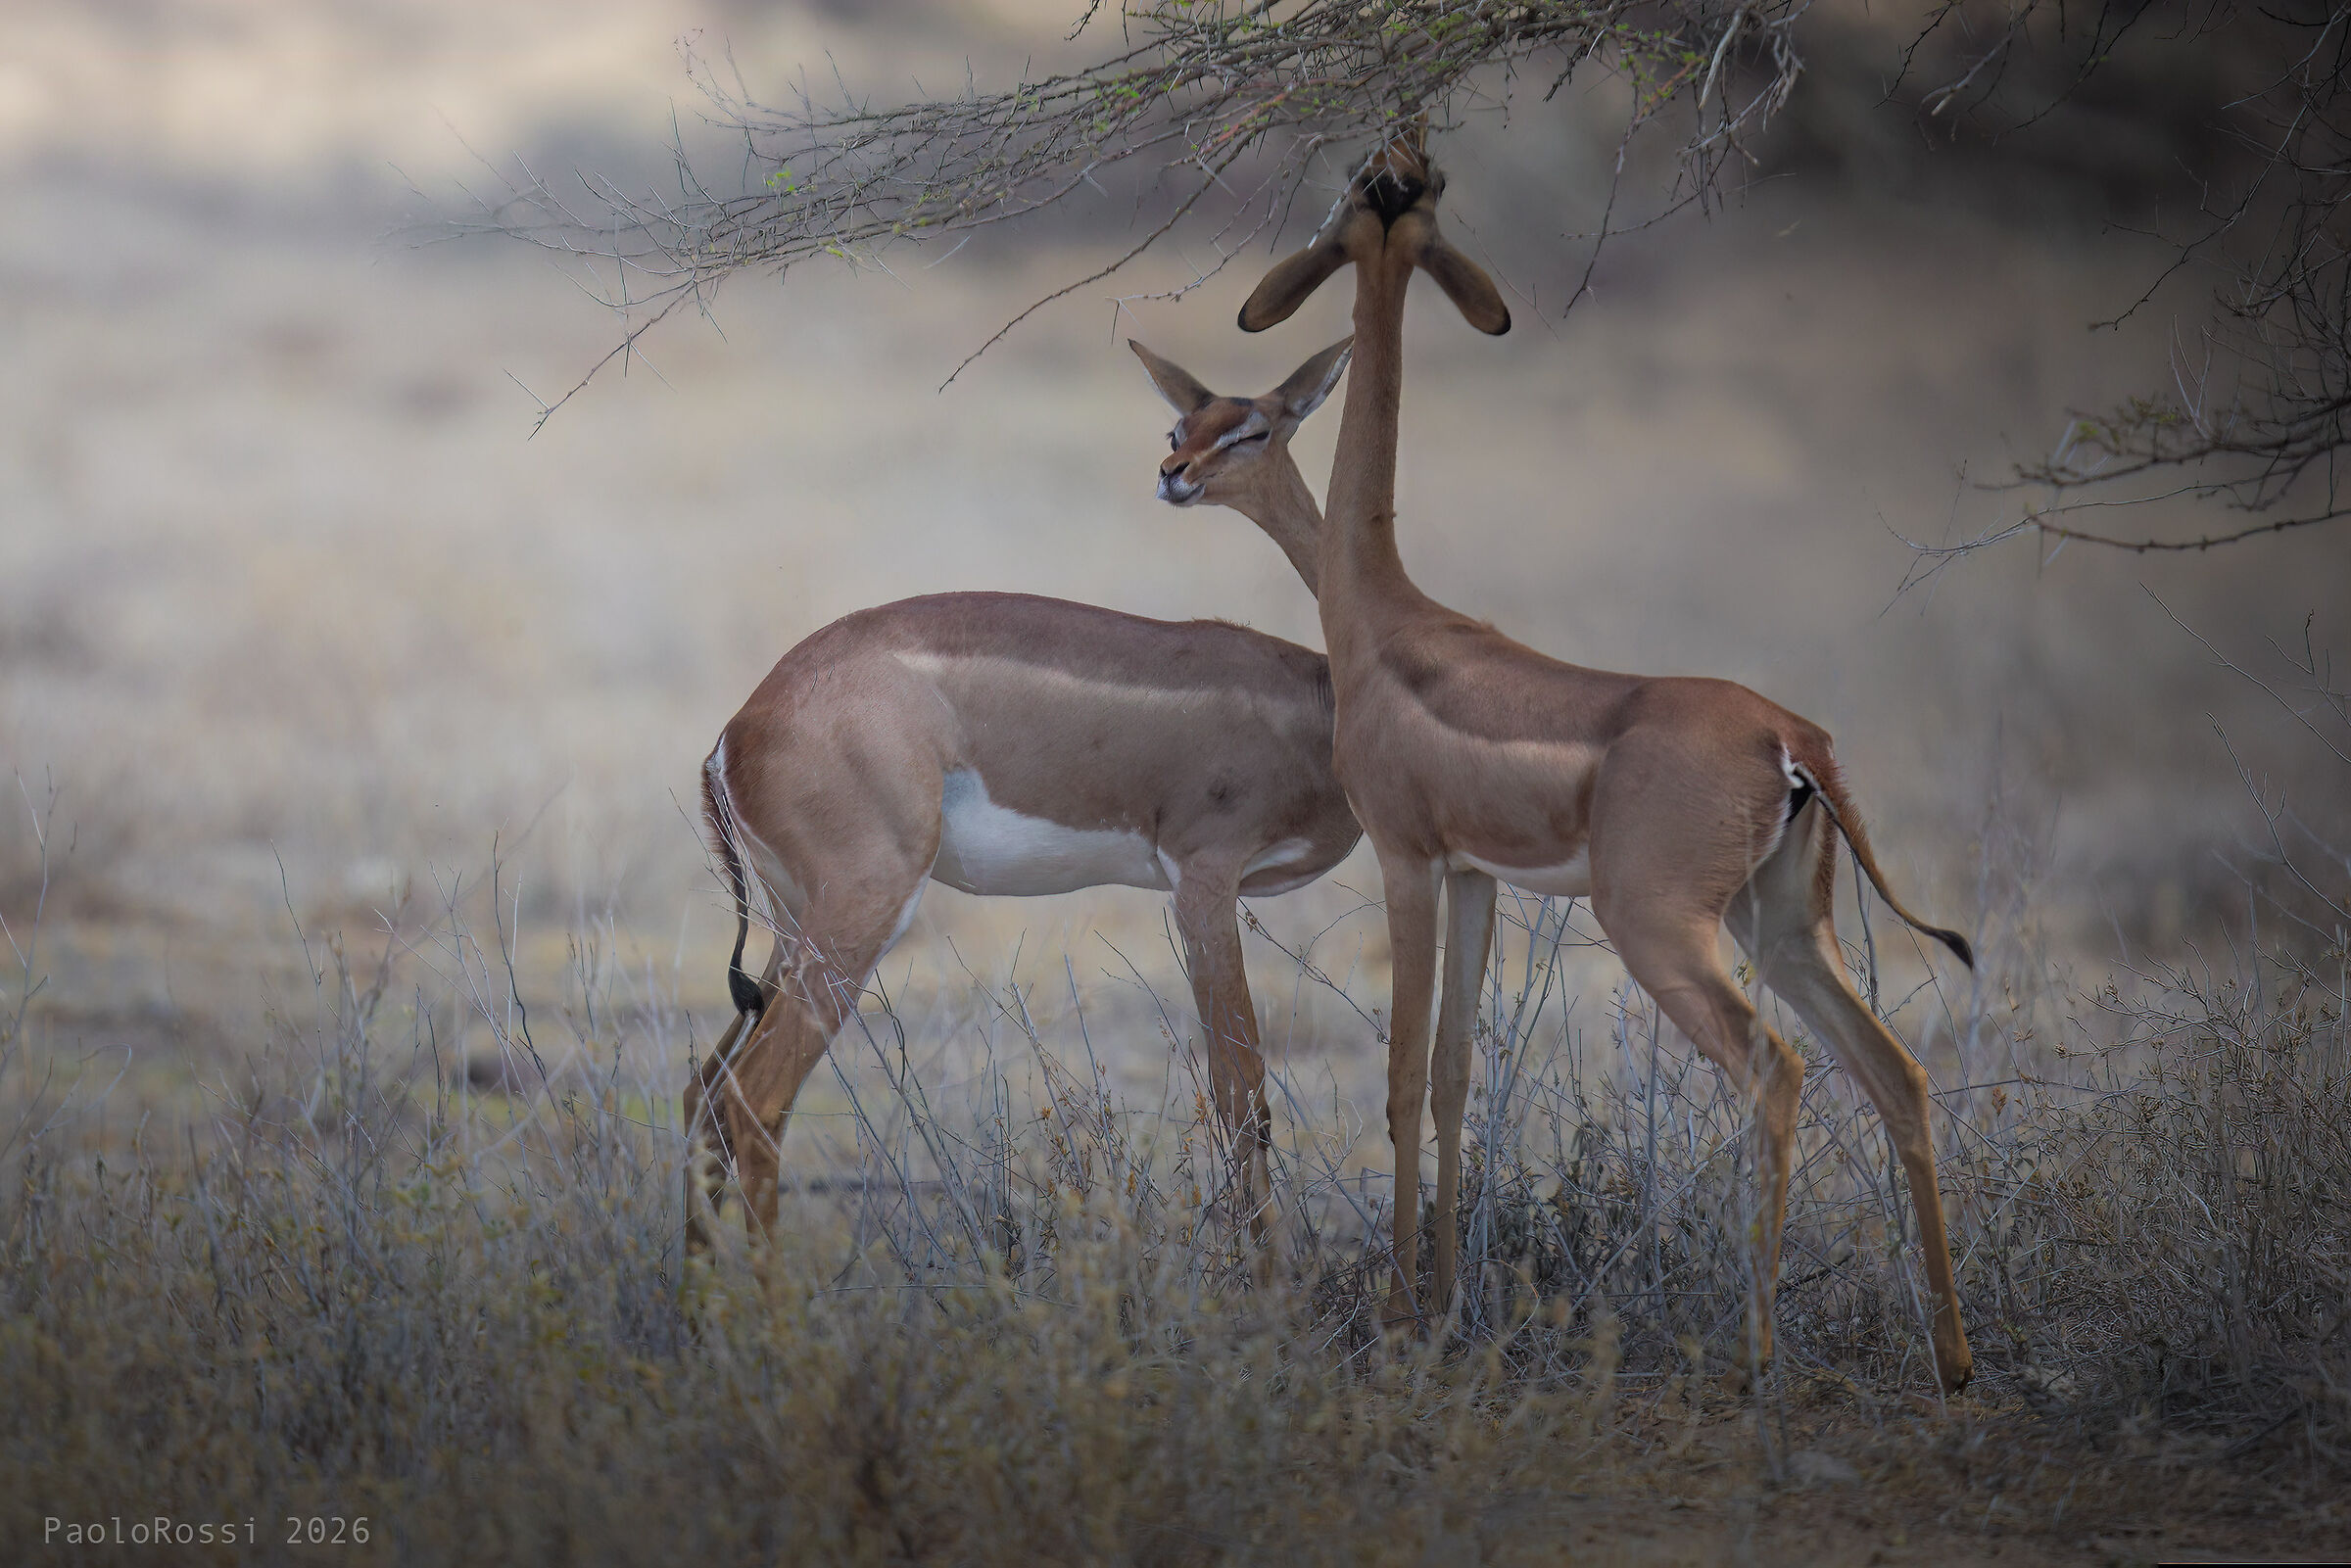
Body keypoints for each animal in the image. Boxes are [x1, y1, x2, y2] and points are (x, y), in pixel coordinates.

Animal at [686, 339, 1361, 1253]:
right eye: (1179, 426)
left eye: (1253, 427)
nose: (1174, 474)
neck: (1318, 692)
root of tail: (737, 729)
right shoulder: (1204, 882)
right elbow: (1242, 1092)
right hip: (860, 912)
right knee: (752, 1099)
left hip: (794, 923)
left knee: (704, 1093)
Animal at [1218, 136, 1977, 1392]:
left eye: (1359, 208)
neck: (1380, 618)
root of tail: (1790, 738)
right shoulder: (1475, 874)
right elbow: (1454, 1072)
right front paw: (1444, 1305)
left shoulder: (1408, 859)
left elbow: (1401, 1072)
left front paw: (1398, 1316)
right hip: (1783, 926)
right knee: (1896, 1070)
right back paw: (1954, 1356)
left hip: (1661, 928)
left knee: (1776, 1070)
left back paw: (1756, 1352)